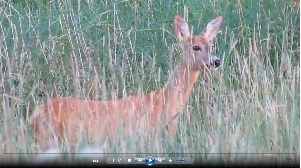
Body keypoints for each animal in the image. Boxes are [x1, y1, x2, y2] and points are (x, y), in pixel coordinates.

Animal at [29, 14, 221, 154]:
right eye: (195, 47)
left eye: (211, 46)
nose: (217, 61)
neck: (165, 99)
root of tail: (35, 114)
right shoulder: (156, 134)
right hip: (58, 138)